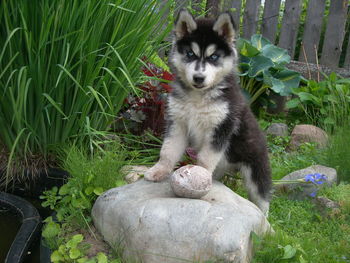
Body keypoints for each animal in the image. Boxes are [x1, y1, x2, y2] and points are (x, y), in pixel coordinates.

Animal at [144, 9, 272, 216]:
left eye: (213, 57)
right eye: (190, 54)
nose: (198, 77)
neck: (198, 98)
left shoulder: (220, 128)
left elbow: (205, 159)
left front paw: (200, 178)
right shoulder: (177, 123)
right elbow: (168, 151)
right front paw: (159, 171)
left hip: (256, 171)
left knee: (262, 200)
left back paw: (265, 220)